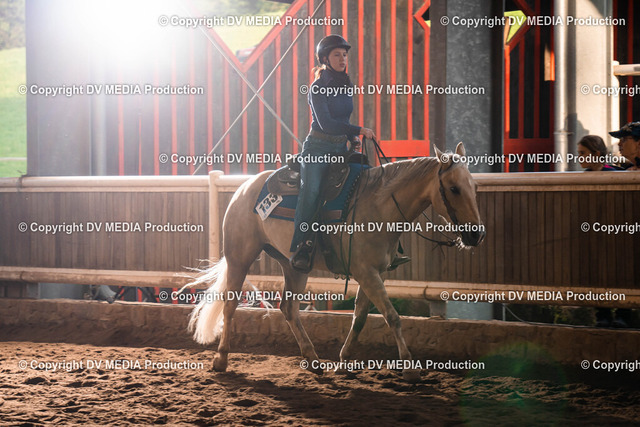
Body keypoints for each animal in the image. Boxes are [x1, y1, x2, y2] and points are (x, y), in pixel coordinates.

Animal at [180, 142, 485, 383]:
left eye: (474, 186)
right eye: (454, 188)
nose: (476, 234)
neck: (380, 205)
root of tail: (244, 187)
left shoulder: (375, 274)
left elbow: (360, 318)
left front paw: (343, 362)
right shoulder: (366, 273)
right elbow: (392, 317)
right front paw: (409, 368)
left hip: (293, 266)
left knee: (288, 308)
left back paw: (314, 360)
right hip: (240, 258)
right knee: (230, 305)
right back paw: (221, 360)